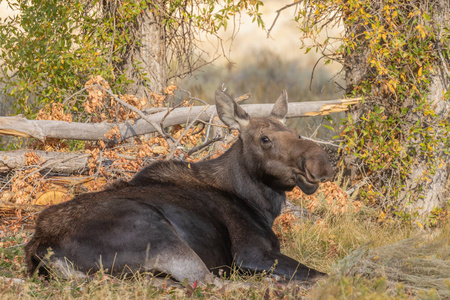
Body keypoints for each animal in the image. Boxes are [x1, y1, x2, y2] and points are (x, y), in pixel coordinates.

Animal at [24, 89, 334, 284]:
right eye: (265, 138)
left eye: (295, 133)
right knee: (209, 283)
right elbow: (325, 275)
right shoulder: (251, 254)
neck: (261, 206)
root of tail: (41, 248)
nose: (319, 164)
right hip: (162, 235)